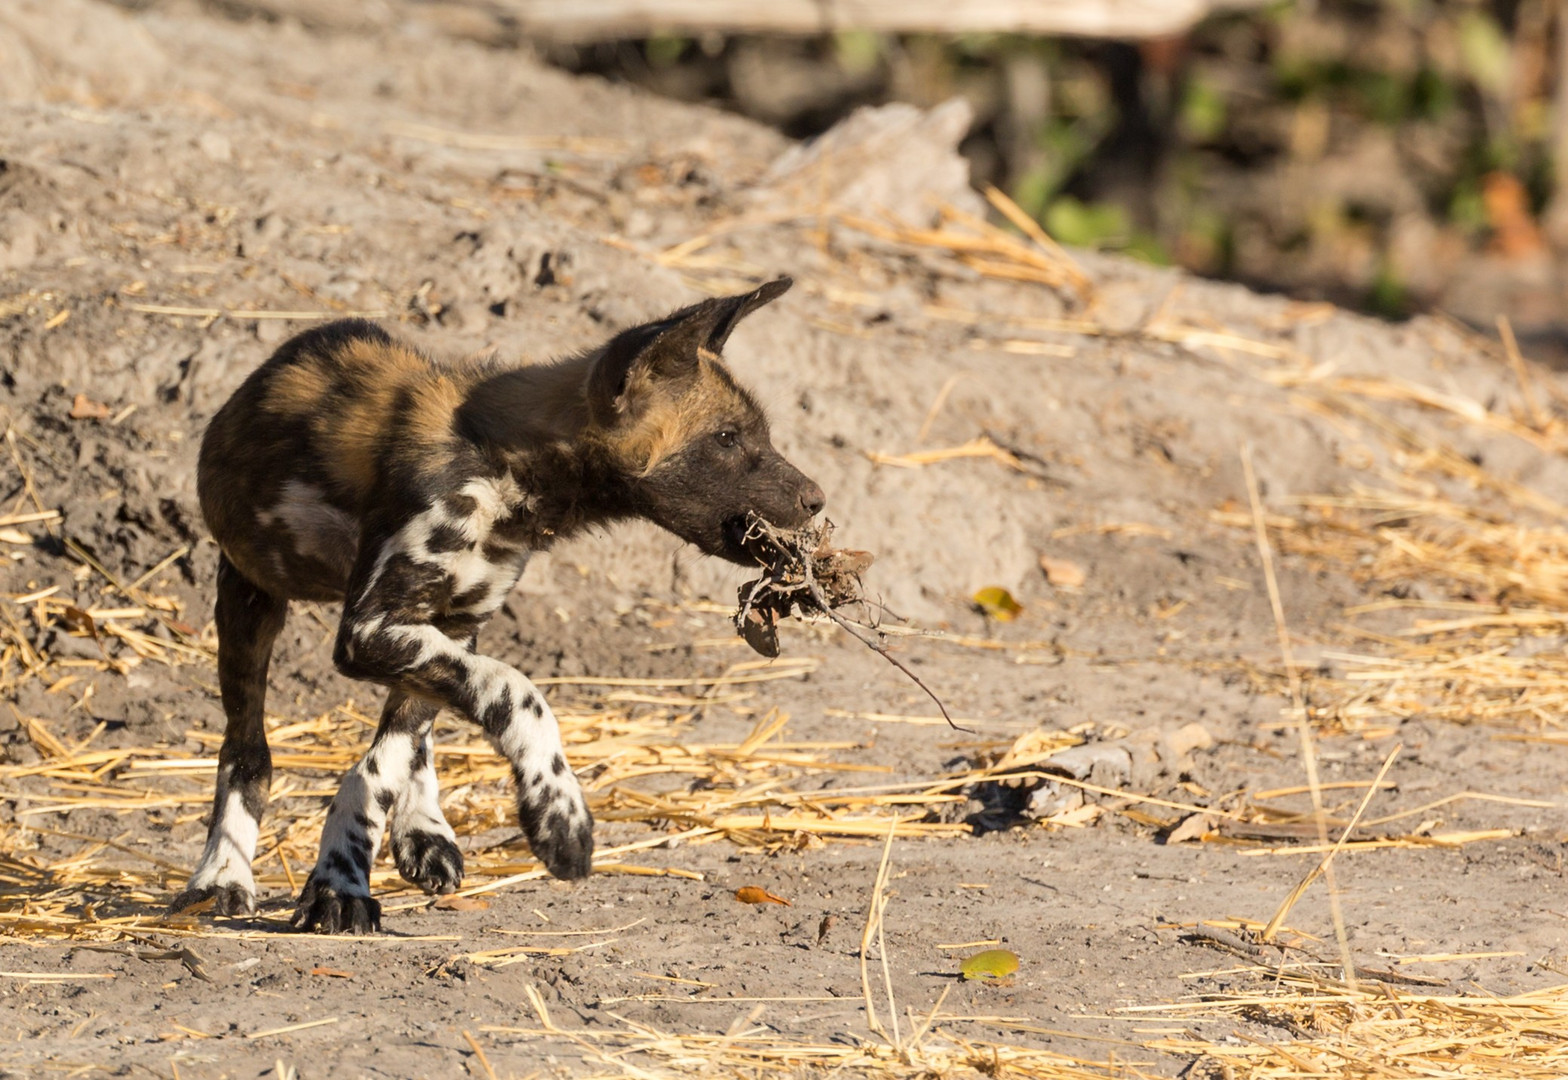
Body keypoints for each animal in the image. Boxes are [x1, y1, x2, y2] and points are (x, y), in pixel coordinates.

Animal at [173, 282, 827, 927]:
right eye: (726, 439)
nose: (817, 499)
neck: (502, 468)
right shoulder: (370, 629)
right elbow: (519, 694)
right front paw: (560, 817)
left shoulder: (441, 626)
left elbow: (380, 765)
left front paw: (345, 873)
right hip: (250, 599)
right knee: (247, 751)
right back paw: (221, 876)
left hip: (437, 628)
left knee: (412, 729)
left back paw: (423, 831)